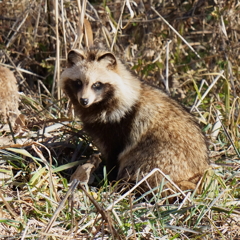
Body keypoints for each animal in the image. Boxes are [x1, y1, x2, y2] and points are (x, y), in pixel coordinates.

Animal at [60, 47, 210, 193]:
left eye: (97, 84)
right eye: (78, 82)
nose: (84, 101)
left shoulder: (119, 127)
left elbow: (114, 156)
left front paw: (108, 180)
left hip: (161, 159)